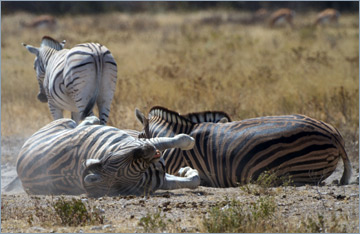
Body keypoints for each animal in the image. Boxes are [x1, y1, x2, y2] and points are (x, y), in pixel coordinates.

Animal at [16, 116, 200, 197]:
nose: (149, 149)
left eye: (115, 158)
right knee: (76, 123)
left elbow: (193, 181)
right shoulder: (145, 145)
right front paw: (190, 141)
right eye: (131, 159)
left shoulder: (161, 176)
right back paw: (91, 119)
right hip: (62, 123)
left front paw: (187, 171)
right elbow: (173, 140)